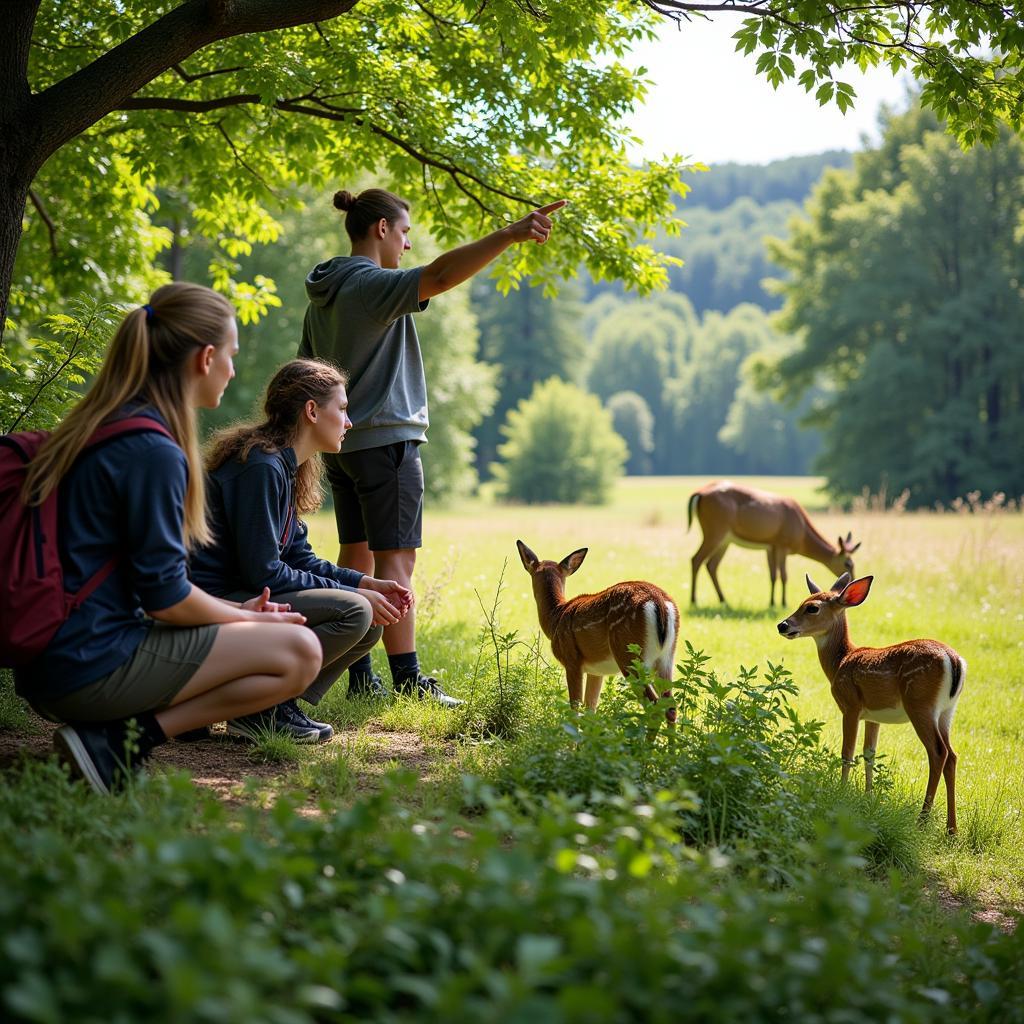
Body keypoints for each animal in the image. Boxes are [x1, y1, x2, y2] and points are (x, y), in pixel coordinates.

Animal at [516, 540, 675, 724]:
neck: (556, 617)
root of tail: (659, 601)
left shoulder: (571, 660)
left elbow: (575, 710)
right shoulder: (596, 671)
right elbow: (590, 711)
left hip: (630, 654)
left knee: (656, 708)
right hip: (666, 657)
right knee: (670, 706)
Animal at [688, 479, 856, 606]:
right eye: (848, 563)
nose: (852, 582)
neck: (802, 533)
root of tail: (700, 493)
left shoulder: (771, 546)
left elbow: (773, 575)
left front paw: (772, 602)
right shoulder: (782, 545)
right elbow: (784, 575)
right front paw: (783, 603)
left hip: (725, 540)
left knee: (711, 564)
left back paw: (723, 600)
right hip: (714, 531)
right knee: (696, 559)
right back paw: (694, 600)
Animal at [778, 573, 962, 835]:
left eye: (812, 607)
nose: (782, 625)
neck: (840, 662)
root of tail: (954, 661)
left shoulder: (850, 705)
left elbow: (847, 752)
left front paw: (842, 792)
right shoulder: (873, 716)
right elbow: (869, 754)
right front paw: (868, 796)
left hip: (920, 704)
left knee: (938, 752)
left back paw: (922, 819)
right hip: (947, 711)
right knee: (952, 756)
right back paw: (951, 829)